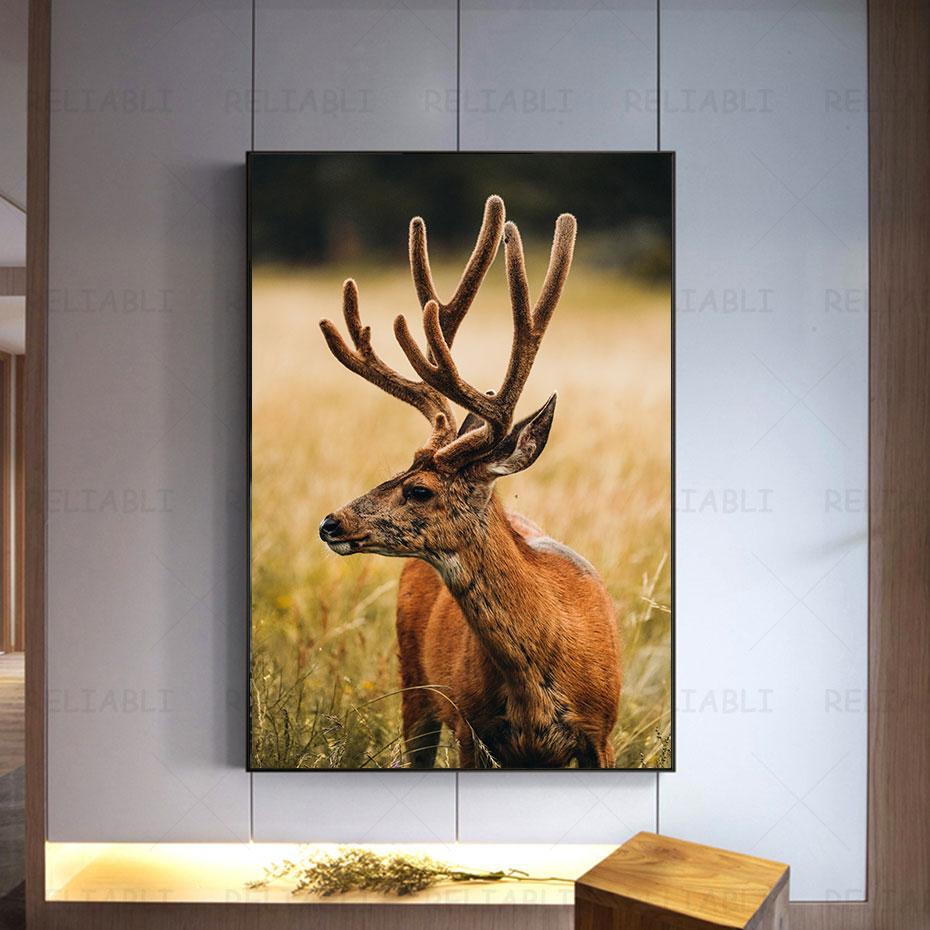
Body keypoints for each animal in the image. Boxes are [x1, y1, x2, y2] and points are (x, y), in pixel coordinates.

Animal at [317, 195, 621, 769]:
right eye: (394, 470)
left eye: (419, 489)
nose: (330, 522)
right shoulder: (470, 726)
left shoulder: (602, 732)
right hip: (414, 686)